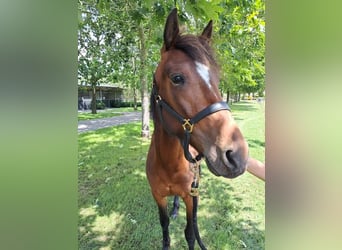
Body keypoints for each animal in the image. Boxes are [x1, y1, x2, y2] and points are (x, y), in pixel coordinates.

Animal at [146, 8, 248, 250]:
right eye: (177, 78)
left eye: (217, 79)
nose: (237, 155)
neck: (168, 164)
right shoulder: (158, 196)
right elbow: (165, 228)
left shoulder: (192, 196)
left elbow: (190, 233)